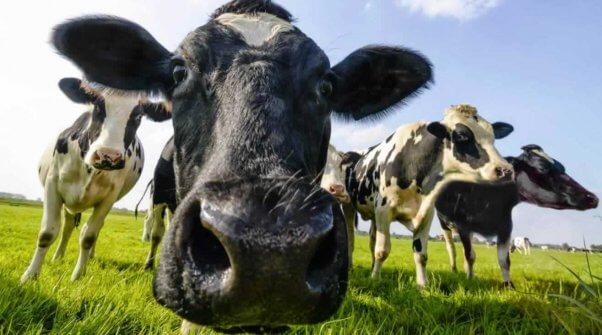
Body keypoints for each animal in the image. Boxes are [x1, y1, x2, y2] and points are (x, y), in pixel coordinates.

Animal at [21, 78, 170, 284]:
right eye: (98, 106)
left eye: (138, 116)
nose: (108, 156)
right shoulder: (52, 185)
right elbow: (47, 233)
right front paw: (30, 275)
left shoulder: (109, 198)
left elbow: (89, 235)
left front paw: (78, 275)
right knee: (67, 226)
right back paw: (58, 256)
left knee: (93, 228)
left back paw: (89, 256)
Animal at [332, 104, 510, 286]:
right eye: (462, 136)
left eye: (493, 137)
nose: (505, 169)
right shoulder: (383, 210)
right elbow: (382, 250)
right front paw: (375, 278)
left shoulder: (426, 213)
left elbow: (421, 254)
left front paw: (422, 284)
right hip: (348, 206)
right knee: (351, 239)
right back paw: (351, 267)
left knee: (372, 239)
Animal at [434, 144, 596, 286]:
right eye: (542, 167)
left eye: (562, 167)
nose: (592, 198)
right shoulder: (463, 227)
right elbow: (470, 255)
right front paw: (470, 279)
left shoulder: (505, 228)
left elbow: (504, 260)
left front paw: (508, 285)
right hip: (444, 224)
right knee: (452, 249)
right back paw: (455, 270)